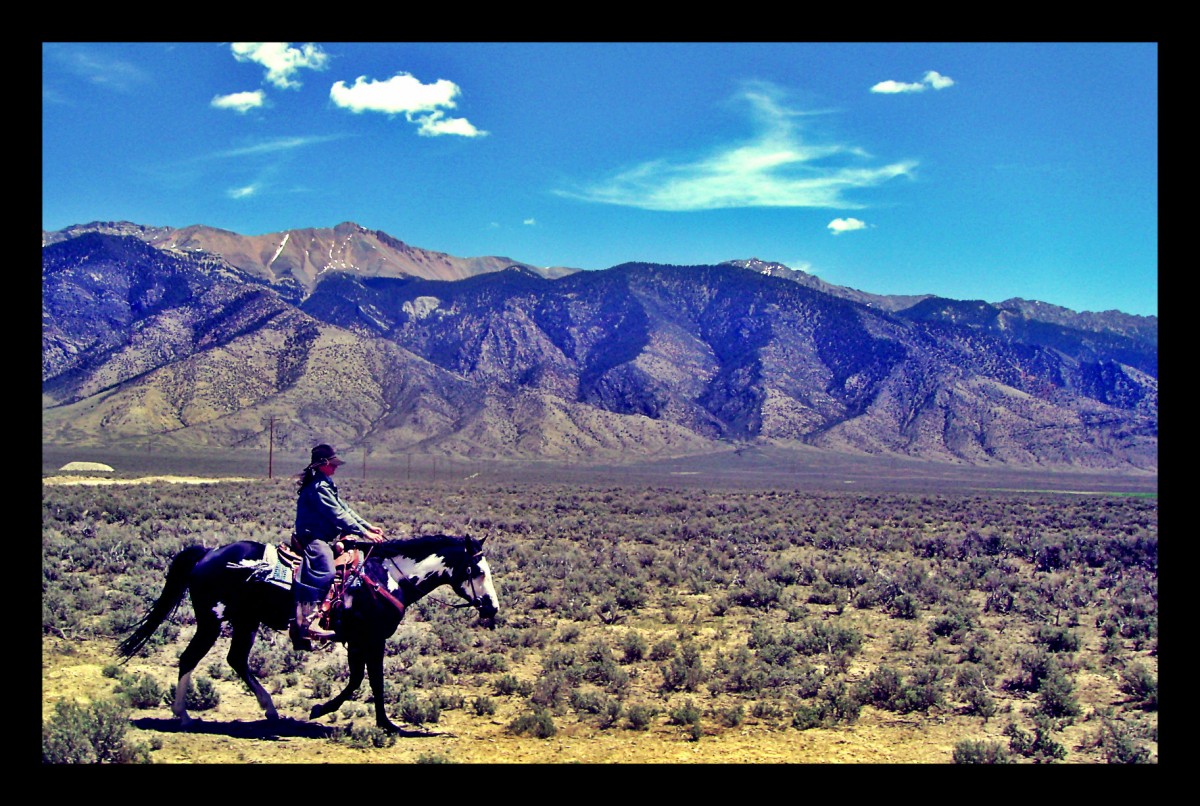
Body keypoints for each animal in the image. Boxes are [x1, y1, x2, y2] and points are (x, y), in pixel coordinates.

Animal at [117, 532, 496, 734]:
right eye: (477, 570)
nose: (492, 608)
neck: (388, 575)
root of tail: (207, 554)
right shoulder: (370, 638)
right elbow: (370, 681)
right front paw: (384, 724)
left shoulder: (358, 640)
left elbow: (359, 680)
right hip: (212, 622)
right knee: (190, 658)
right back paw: (183, 715)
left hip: (246, 622)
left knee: (236, 659)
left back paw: (270, 711)